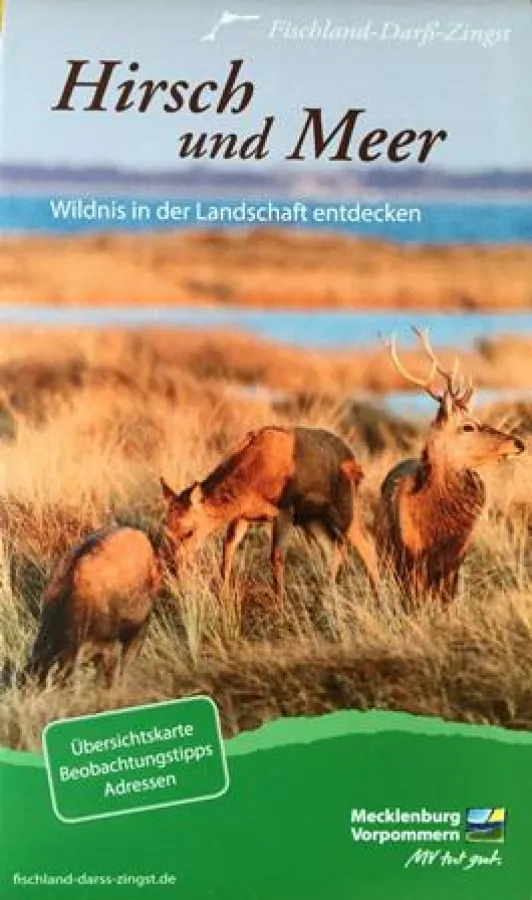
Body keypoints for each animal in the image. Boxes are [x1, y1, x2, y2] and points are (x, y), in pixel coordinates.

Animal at [160, 425, 379, 598]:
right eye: (166, 529)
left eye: (189, 531)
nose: (172, 566)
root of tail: (356, 462)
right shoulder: (243, 516)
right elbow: (228, 549)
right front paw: (223, 594)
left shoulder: (284, 510)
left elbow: (276, 557)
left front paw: (280, 606)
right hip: (312, 518)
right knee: (334, 548)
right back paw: (326, 594)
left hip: (344, 506)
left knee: (367, 545)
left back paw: (377, 597)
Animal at [377, 327, 525, 606]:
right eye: (468, 426)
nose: (518, 442)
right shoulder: (410, 553)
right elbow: (413, 598)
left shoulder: (456, 555)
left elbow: (446, 597)